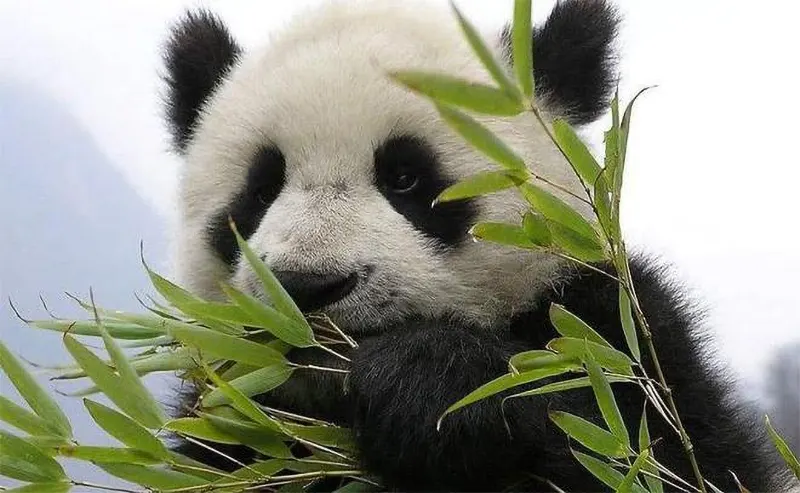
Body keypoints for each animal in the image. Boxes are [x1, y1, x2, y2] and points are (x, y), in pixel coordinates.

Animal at [161, 0, 785, 490]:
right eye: (262, 189)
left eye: (406, 178)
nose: (307, 284)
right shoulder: (224, 423)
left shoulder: (614, 328)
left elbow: (652, 452)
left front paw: (427, 385)